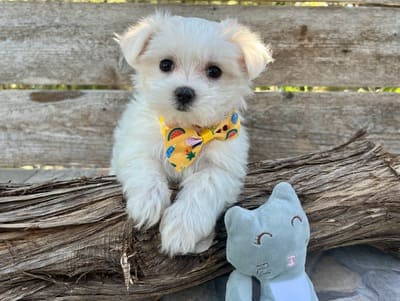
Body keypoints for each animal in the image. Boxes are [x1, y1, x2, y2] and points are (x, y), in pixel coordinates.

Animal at [110, 12, 272, 254]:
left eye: (214, 71)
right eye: (165, 64)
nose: (184, 93)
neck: (186, 132)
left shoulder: (223, 167)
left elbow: (203, 188)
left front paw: (180, 229)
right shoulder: (135, 146)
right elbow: (144, 167)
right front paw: (147, 203)